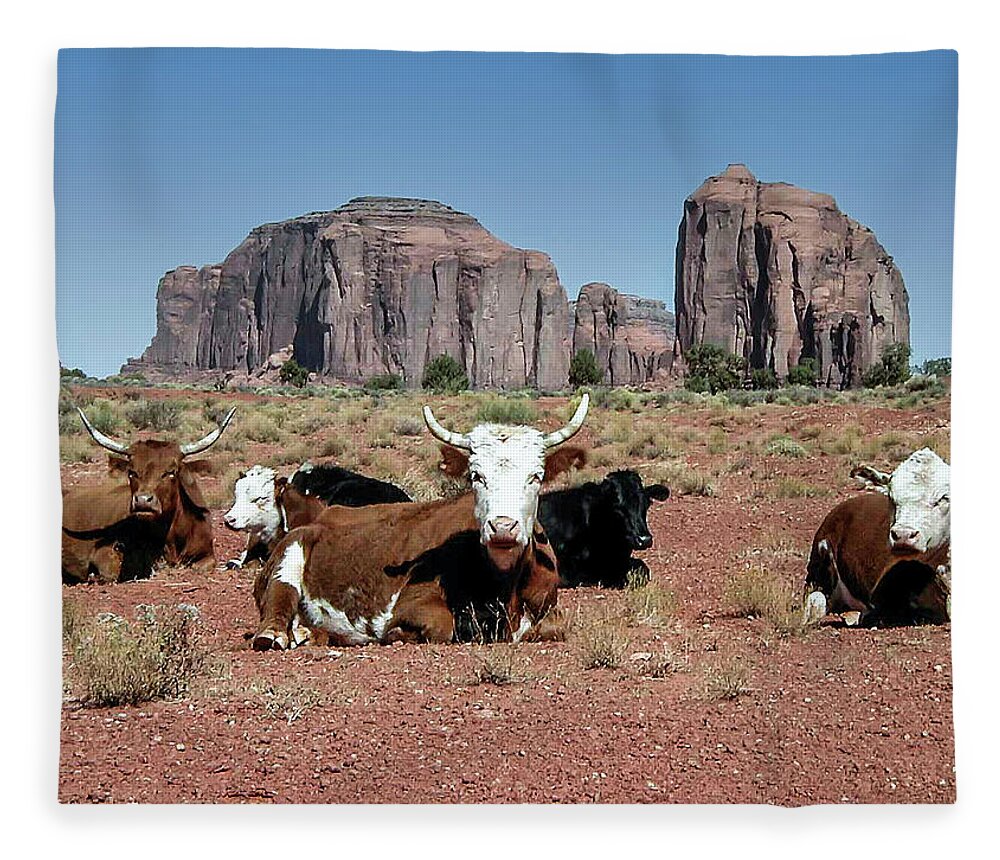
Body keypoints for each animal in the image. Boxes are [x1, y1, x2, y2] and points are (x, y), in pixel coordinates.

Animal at [250, 394, 588, 648]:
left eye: (536, 476)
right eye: (476, 475)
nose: (503, 527)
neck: (502, 585)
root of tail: (323, 515)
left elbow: (553, 627)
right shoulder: (412, 603)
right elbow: (439, 626)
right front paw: (395, 633)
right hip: (289, 557)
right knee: (277, 608)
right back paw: (277, 634)